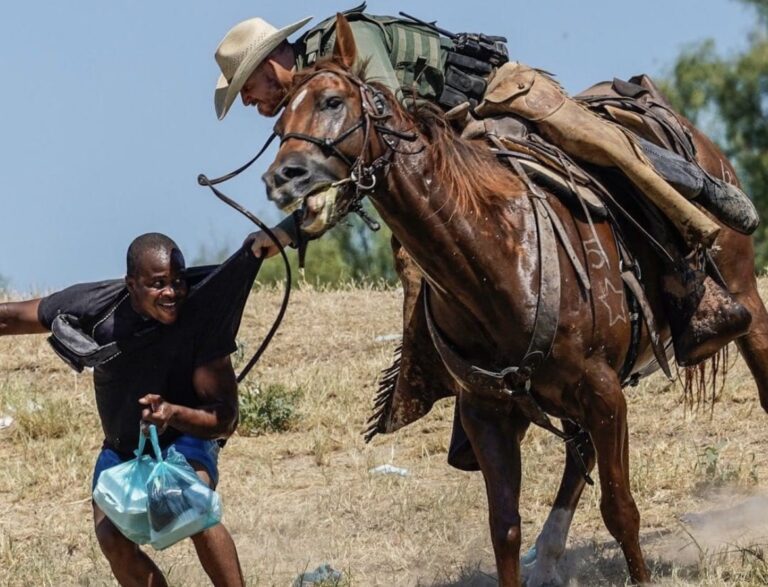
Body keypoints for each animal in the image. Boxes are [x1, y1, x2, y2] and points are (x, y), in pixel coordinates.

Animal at [261, 15, 768, 586]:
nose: (283, 177)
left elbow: (621, 510)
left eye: (332, 101)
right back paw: (547, 553)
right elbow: (504, 528)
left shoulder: (603, 392)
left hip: (743, 298)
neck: (496, 254)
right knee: (577, 456)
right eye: (280, 119)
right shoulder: (488, 412)